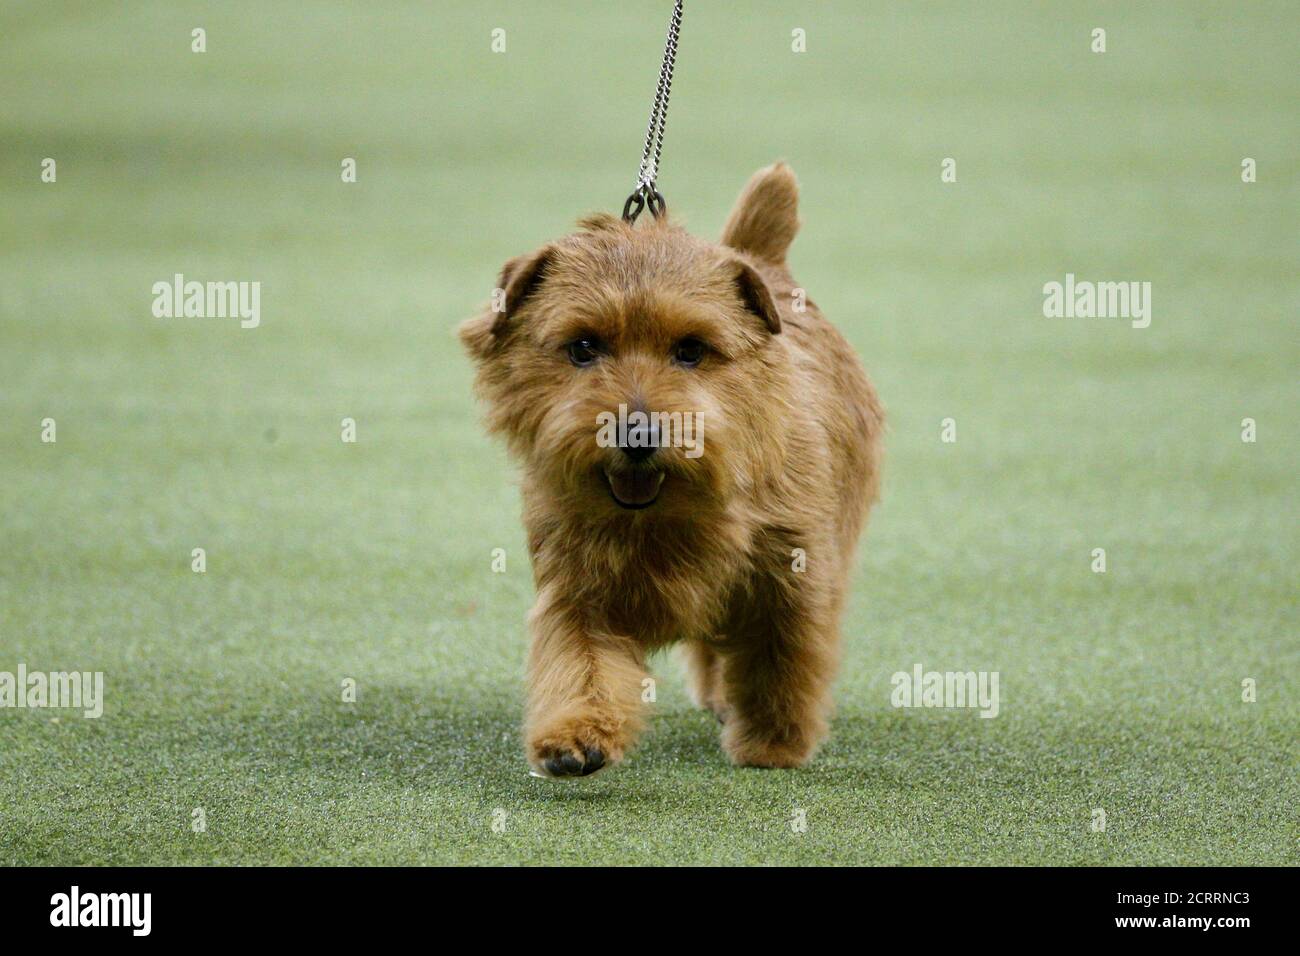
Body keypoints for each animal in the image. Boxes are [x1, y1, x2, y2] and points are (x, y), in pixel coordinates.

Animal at [460, 162, 883, 780]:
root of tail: (760, 262)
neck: (664, 517)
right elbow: (579, 662)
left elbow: (782, 660)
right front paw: (573, 736)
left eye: (691, 350)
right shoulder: (578, 589)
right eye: (582, 347)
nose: (637, 433)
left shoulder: (792, 574)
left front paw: (773, 742)